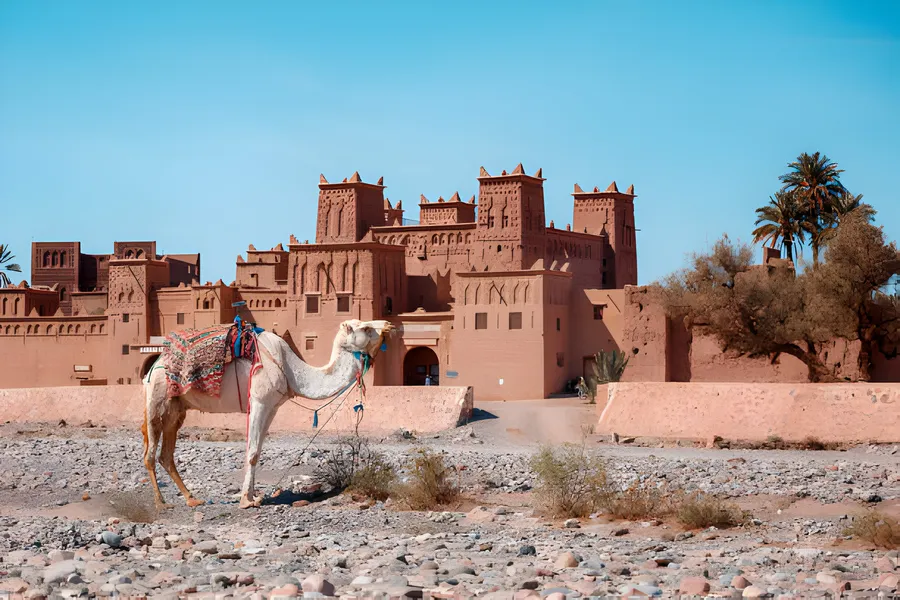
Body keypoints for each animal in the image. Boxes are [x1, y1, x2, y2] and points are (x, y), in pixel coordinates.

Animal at [142, 319, 394, 509]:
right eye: (365, 328)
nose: (388, 325)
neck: (291, 370)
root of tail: (155, 364)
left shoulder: (272, 407)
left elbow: (258, 450)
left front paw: (254, 496)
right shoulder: (260, 401)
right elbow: (252, 452)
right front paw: (246, 501)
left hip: (177, 409)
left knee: (166, 455)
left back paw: (192, 498)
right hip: (157, 398)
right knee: (150, 453)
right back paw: (161, 502)